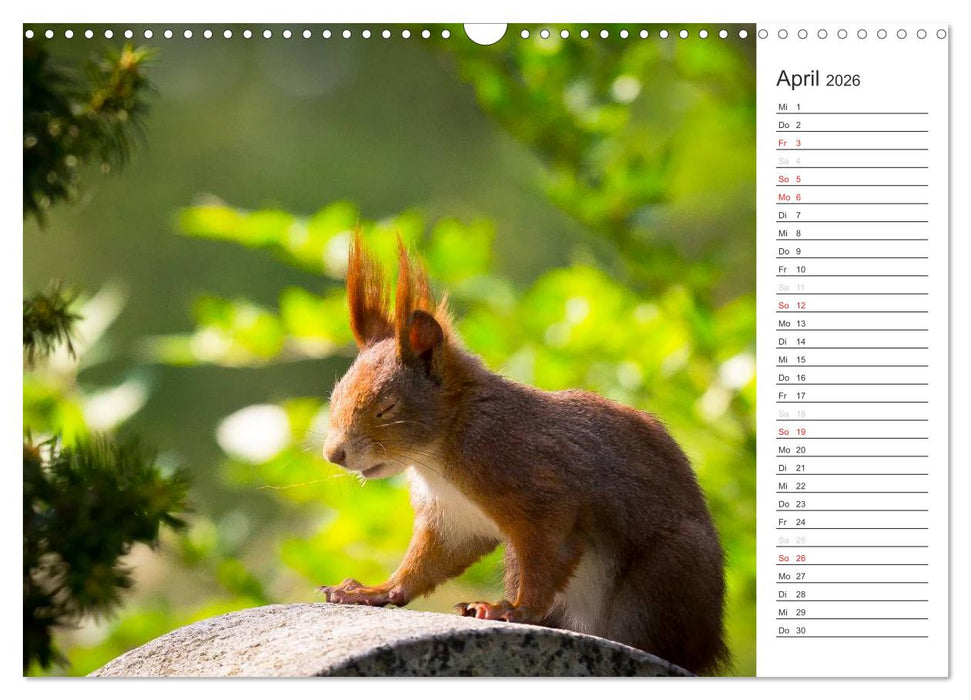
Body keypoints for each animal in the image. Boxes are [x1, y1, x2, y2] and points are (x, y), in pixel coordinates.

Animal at [318, 235, 728, 675]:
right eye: (335, 396)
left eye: (387, 407)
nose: (334, 454)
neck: (440, 453)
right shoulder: (452, 518)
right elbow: (427, 562)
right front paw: (374, 590)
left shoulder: (539, 490)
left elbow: (545, 558)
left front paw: (514, 612)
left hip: (667, 575)